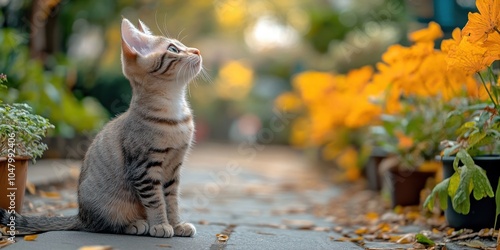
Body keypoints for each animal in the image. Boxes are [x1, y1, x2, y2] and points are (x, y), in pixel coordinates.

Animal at [1, 18, 202, 238]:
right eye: (173, 49)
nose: (197, 51)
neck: (175, 113)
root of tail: (80, 215)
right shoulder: (144, 168)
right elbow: (156, 201)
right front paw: (161, 225)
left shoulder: (173, 169)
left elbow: (172, 200)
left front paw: (176, 224)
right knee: (104, 225)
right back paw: (135, 224)